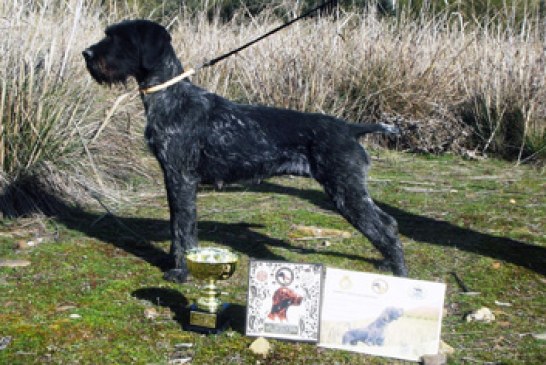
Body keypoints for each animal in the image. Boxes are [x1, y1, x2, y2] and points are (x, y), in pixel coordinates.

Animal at [83, 19, 406, 282]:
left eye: (118, 38)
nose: (87, 54)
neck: (171, 98)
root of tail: (351, 128)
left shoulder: (180, 178)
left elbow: (183, 229)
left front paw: (181, 272)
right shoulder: (174, 179)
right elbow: (179, 226)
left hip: (345, 191)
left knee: (386, 227)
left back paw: (400, 274)